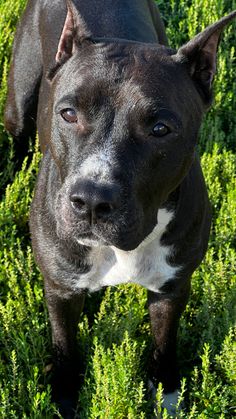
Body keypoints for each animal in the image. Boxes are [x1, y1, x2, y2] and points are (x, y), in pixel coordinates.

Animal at [4, 1, 236, 418]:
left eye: (160, 129)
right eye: (68, 114)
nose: (92, 200)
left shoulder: (172, 288)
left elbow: (164, 345)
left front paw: (166, 395)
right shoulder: (61, 289)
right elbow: (65, 349)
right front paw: (65, 400)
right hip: (18, 103)